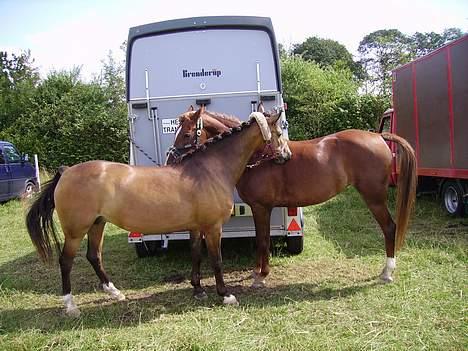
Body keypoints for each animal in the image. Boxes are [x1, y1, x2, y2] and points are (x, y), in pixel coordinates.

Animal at [26, 109, 286, 316]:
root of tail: (67, 171)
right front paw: (225, 295)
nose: (286, 155)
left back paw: (114, 293)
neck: (208, 170)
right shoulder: (213, 227)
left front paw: (198, 289)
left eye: (187, 133)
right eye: (279, 133)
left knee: (94, 256)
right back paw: (71, 306)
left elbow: (195, 255)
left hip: (97, 224)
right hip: (75, 231)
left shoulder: (196, 227)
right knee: (66, 261)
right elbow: (216, 260)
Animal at [170, 107, 418, 288]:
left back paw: (387, 272)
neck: (259, 157)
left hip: (374, 198)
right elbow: (262, 239)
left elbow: (262, 241)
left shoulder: (261, 208)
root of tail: (378, 136)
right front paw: (257, 271)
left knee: (389, 228)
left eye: (187, 133)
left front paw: (262, 275)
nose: (171, 158)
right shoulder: (261, 209)